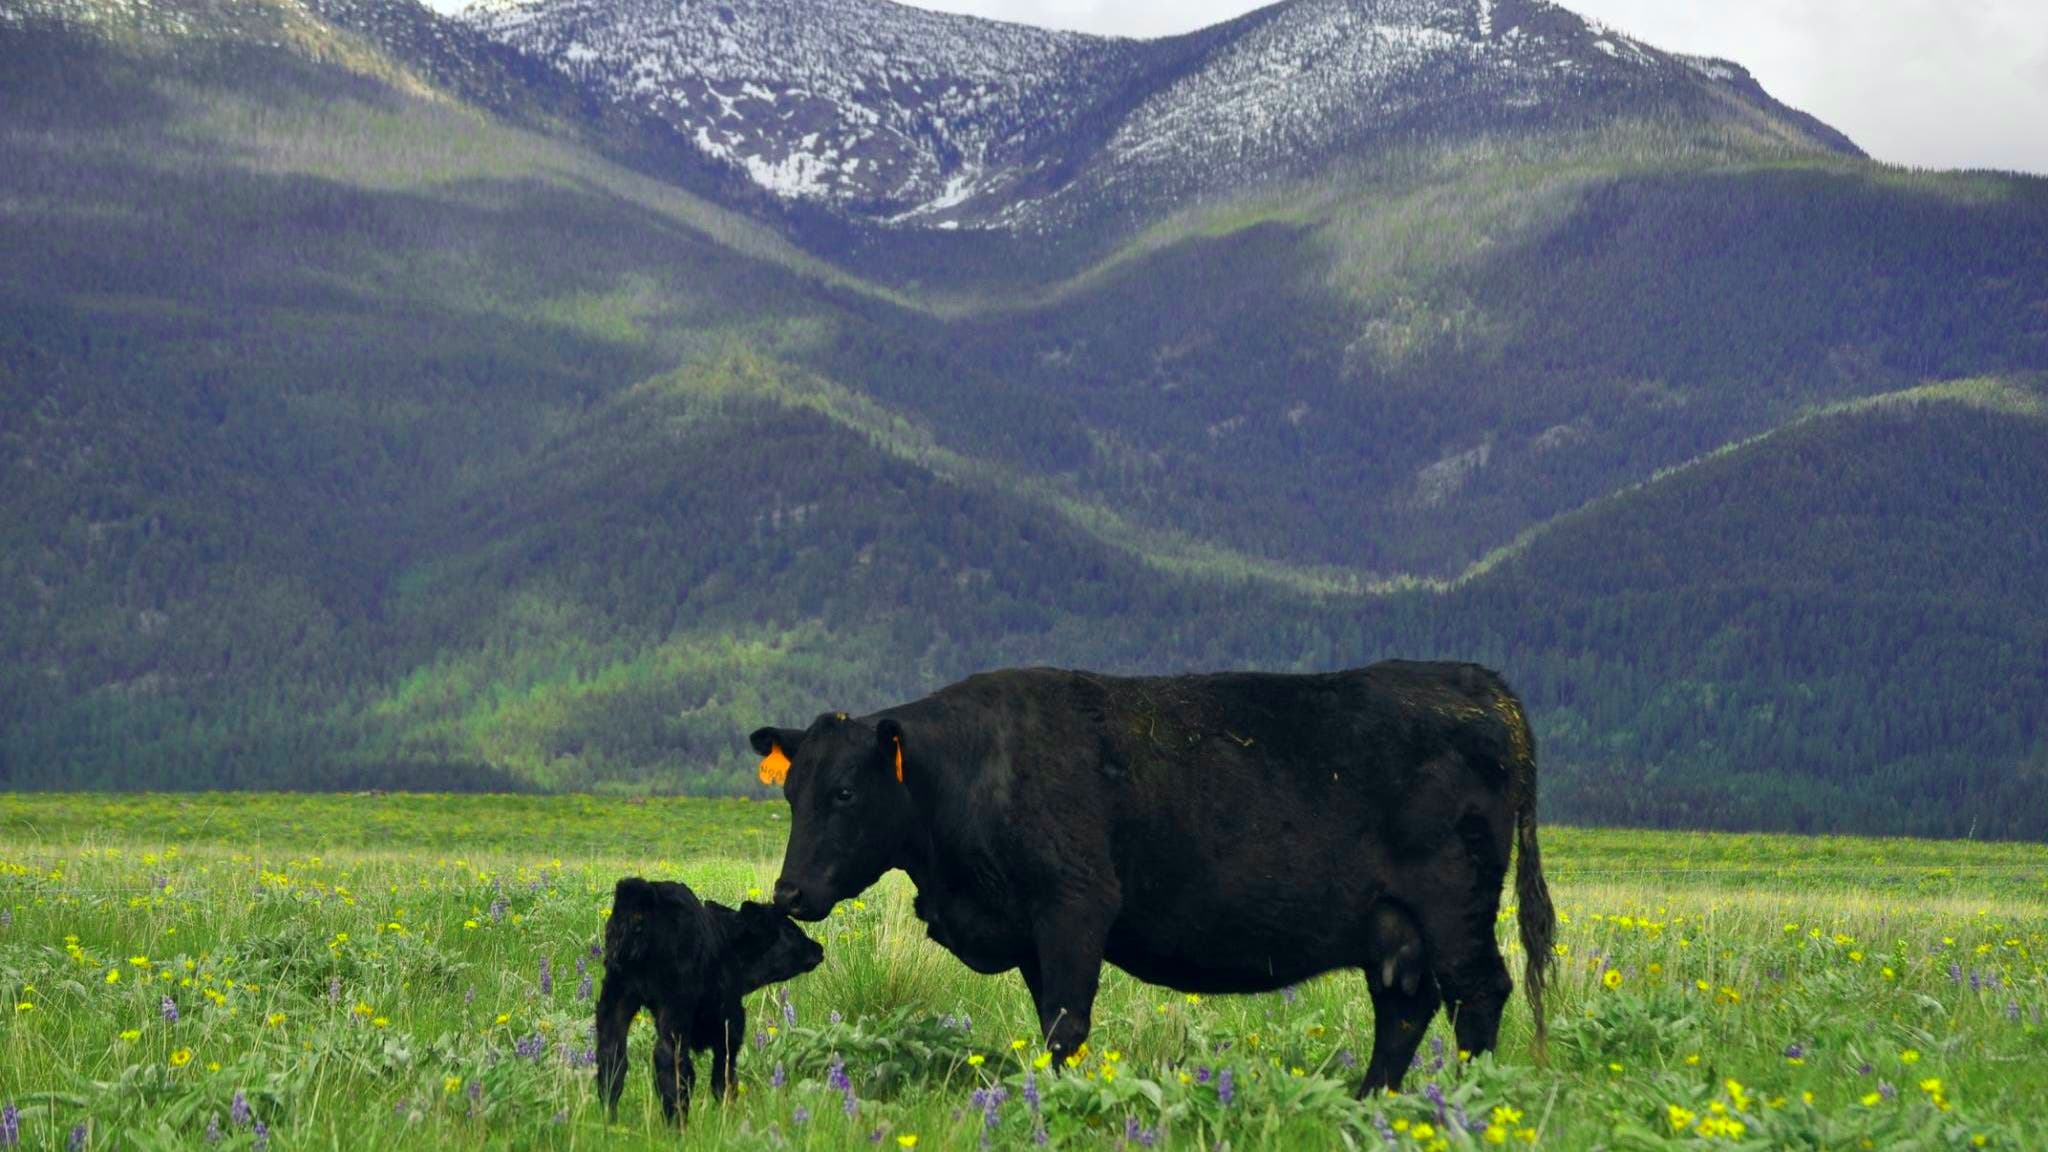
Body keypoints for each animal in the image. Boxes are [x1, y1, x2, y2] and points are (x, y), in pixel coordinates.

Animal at [595, 878, 825, 1123]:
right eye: (791, 930)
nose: (818, 948)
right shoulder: (731, 1023)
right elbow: (723, 1077)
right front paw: (728, 1115)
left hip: (616, 996)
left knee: (611, 1057)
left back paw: (609, 1121)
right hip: (676, 1003)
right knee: (668, 1058)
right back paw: (677, 1123)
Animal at [753, 662, 1555, 1093]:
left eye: (845, 793)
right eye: (790, 791)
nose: (789, 893)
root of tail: (1475, 683)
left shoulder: (1074, 906)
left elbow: (1067, 1023)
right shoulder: (1030, 935)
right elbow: (1052, 1021)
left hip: (1454, 906)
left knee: (1479, 994)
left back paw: (1464, 1100)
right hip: (1395, 926)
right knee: (1405, 1011)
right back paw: (1372, 1104)